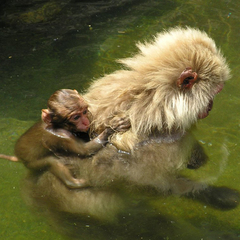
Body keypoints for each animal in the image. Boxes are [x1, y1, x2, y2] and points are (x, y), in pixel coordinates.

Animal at [1, 89, 129, 188]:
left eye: (84, 111)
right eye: (76, 117)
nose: (85, 121)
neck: (58, 126)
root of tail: (18, 155)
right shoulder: (62, 136)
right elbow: (85, 151)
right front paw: (112, 127)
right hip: (31, 163)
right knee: (52, 161)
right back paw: (76, 183)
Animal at [23, 28, 238, 227]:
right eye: (215, 93)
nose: (209, 107)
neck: (154, 99)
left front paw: (197, 157)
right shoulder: (159, 143)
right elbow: (150, 183)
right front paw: (215, 195)